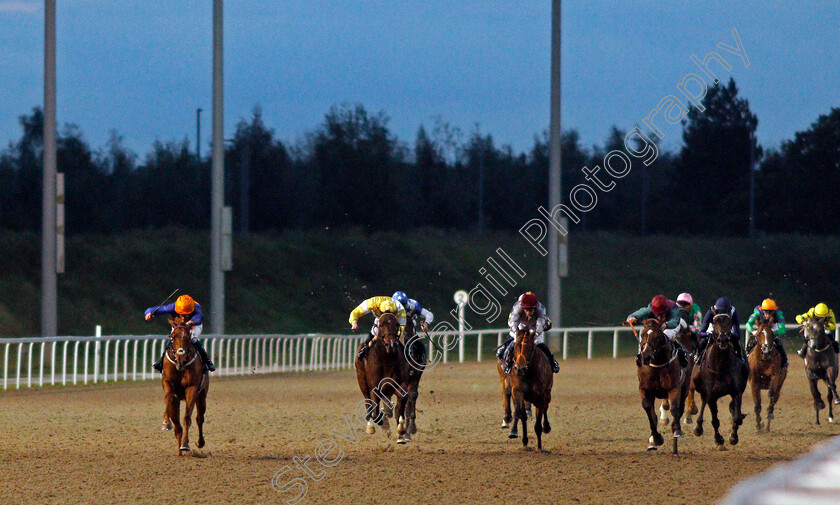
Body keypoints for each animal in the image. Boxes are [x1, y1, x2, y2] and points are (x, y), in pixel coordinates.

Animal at [160, 316, 209, 452]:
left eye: (188, 337)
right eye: (172, 337)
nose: (180, 359)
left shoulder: (192, 388)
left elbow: (187, 417)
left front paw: (185, 444)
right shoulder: (168, 384)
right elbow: (169, 399)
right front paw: (167, 423)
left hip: (202, 395)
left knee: (199, 419)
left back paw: (199, 442)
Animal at [352, 314, 408, 442]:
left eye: (396, 324)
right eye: (381, 325)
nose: (390, 344)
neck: (386, 359)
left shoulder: (398, 384)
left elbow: (402, 400)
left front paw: (401, 430)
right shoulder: (375, 388)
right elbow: (376, 412)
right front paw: (381, 422)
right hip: (361, 380)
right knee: (368, 404)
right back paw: (371, 426)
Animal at [636, 318, 688, 452]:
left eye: (657, 337)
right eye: (642, 334)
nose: (645, 356)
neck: (657, 365)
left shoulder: (674, 388)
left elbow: (675, 408)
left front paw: (677, 430)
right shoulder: (644, 389)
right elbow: (650, 412)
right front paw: (655, 438)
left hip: (685, 387)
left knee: (680, 408)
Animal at [688, 312, 748, 448]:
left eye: (729, 322)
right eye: (715, 322)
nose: (723, 339)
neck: (721, 366)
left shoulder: (736, 392)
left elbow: (737, 417)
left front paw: (733, 437)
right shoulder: (711, 395)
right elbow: (715, 420)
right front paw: (718, 438)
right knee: (702, 402)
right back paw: (698, 425)